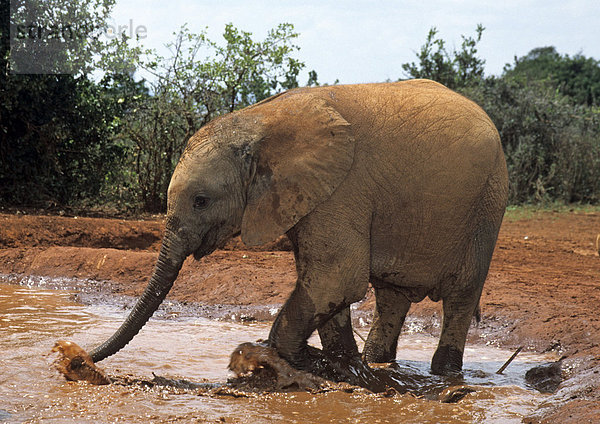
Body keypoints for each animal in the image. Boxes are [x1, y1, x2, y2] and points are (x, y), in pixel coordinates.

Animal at [85, 80, 506, 378]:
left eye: (201, 201)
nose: (81, 356)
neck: (258, 123)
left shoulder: (342, 188)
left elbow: (336, 278)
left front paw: (276, 358)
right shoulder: (311, 196)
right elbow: (324, 285)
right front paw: (340, 365)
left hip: (487, 203)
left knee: (461, 296)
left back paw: (444, 374)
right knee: (392, 296)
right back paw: (378, 364)